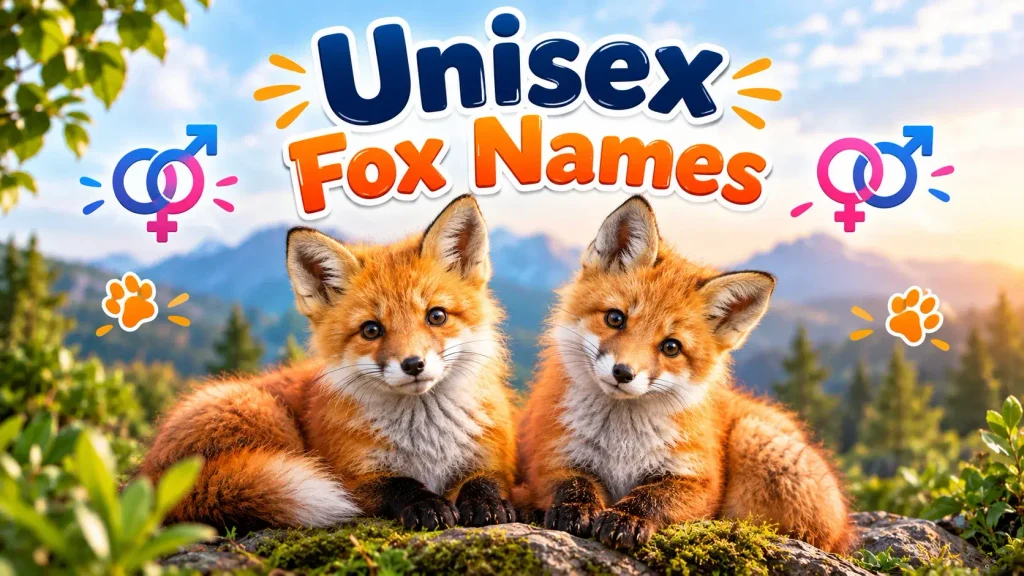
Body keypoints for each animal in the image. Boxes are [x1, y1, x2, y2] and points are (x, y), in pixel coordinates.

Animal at [138, 195, 518, 533]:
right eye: (371, 330)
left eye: (436, 316)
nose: (413, 364)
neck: (426, 444)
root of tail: (150, 476)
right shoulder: (352, 476)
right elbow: (401, 485)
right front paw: (427, 504)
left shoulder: (493, 457)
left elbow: (485, 480)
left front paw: (486, 503)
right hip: (269, 418)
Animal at [517, 196, 853, 553]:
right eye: (615, 318)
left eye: (671, 347)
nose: (623, 372)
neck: (621, 446)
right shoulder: (553, 453)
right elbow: (572, 484)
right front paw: (574, 508)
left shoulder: (698, 480)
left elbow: (654, 497)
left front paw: (627, 517)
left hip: (752, 440)